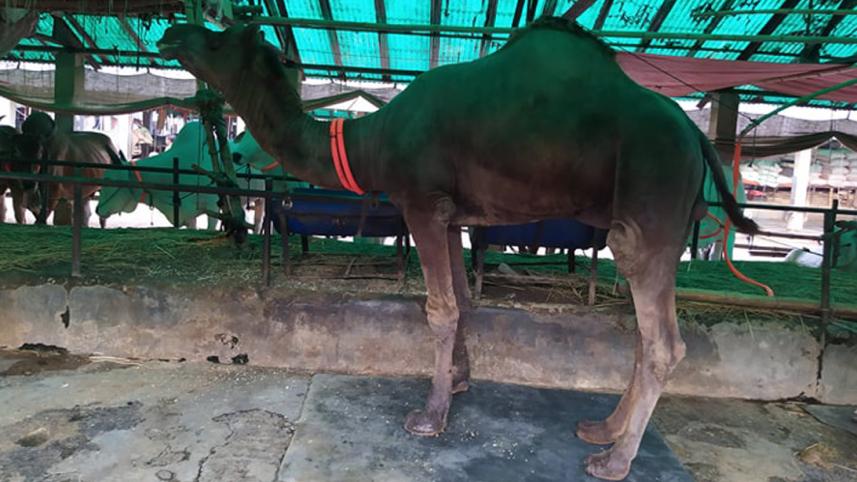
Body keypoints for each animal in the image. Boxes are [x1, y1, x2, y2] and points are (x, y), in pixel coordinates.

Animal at [159, 18, 758, 480]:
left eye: (220, 38)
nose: (170, 33)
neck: (372, 139)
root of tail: (696, 135)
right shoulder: (454, 216)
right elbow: (465, 304)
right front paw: (461, 381)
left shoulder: (422, 203)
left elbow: (440, 310)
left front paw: (431, 414)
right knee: (643, 331)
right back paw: (601, 428)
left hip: (647, 208)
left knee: (662, 339)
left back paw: (614, 461)